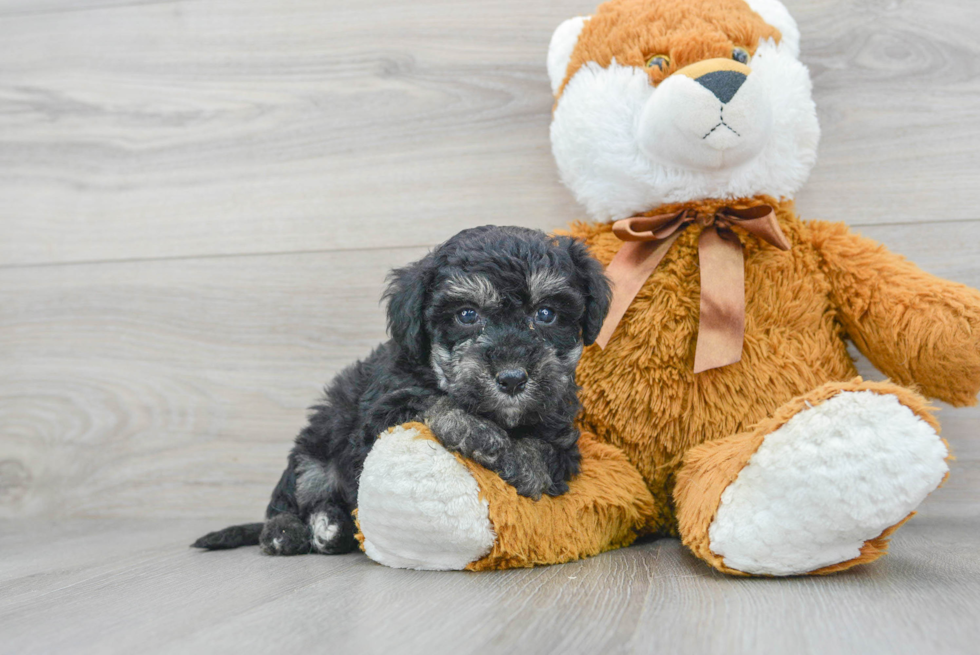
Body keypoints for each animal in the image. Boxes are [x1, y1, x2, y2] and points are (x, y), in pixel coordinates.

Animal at [191, 227, 612, 560]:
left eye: (546, 314)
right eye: (467, 314)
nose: (511, 378)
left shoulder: (561, 424)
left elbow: (548, 448)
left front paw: (524, 461)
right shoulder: (382, 413)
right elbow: (433, 400)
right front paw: (477, 431)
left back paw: (332, 529)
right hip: (315, 449)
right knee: (293, 497)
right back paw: (290, 531)